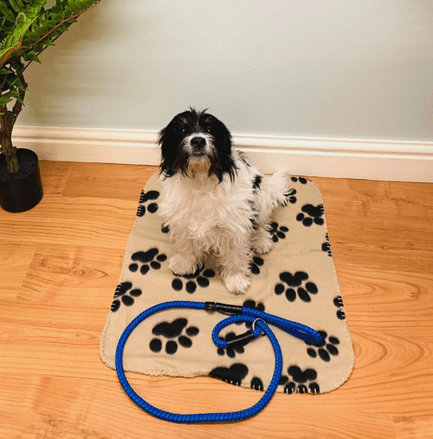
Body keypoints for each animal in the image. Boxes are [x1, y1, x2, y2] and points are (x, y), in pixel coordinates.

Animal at [157, 109, 288, 296]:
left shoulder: (234, 225)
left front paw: (235, 279)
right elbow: (186, 243)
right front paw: (184, 263)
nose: (198, 140)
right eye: (182, 130)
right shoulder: (182, 218)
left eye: (210, 129)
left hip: (261, 194)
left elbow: (235, 255)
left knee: (262, 223)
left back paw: (261, 241)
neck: (200, 179)